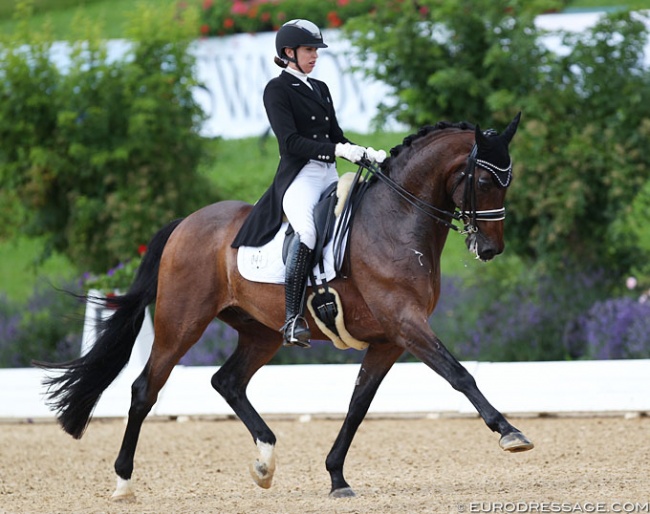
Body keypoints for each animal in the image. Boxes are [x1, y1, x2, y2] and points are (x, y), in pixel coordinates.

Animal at [36, 111, 532, 496]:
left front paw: (336, 477)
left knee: (228, 382)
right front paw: (510, 433)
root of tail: (185, 223)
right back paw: (123, 482)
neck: (396, 219)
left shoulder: (389, 339)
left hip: (261, 332)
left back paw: (265, 462)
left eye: (509, 180)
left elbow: (359, 404)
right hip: (182, 322)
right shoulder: (406, 324)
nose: (491, 248)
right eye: (484, 179)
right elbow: (459, 374)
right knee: (145, 389)